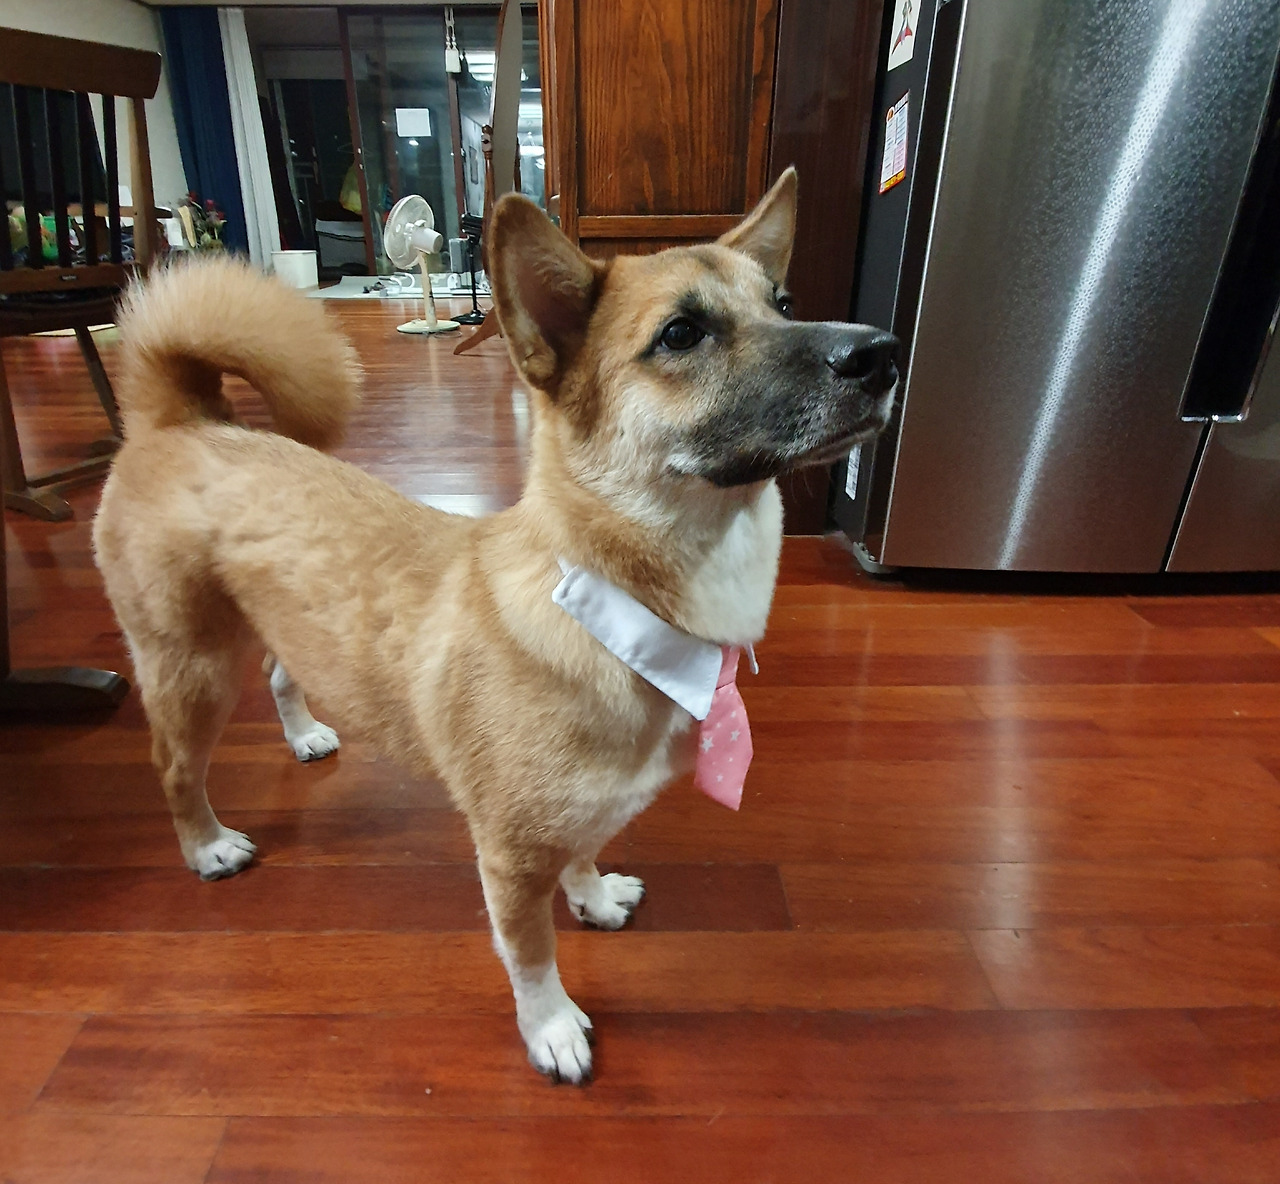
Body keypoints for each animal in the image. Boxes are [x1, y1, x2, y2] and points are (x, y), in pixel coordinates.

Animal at [92, 167, 899, 1083]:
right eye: (682, 334)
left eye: (785, 302)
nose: (881, 353)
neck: (608, 599)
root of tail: (179, 420)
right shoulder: (510, 857)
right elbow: (530, 953)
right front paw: (550, 1028)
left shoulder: (579, 812)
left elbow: (583, 852)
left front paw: (593, 895)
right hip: (191, 669)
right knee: (175, 769)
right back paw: (205, 846)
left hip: (274, 628)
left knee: (279, 674)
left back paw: (302, 734)